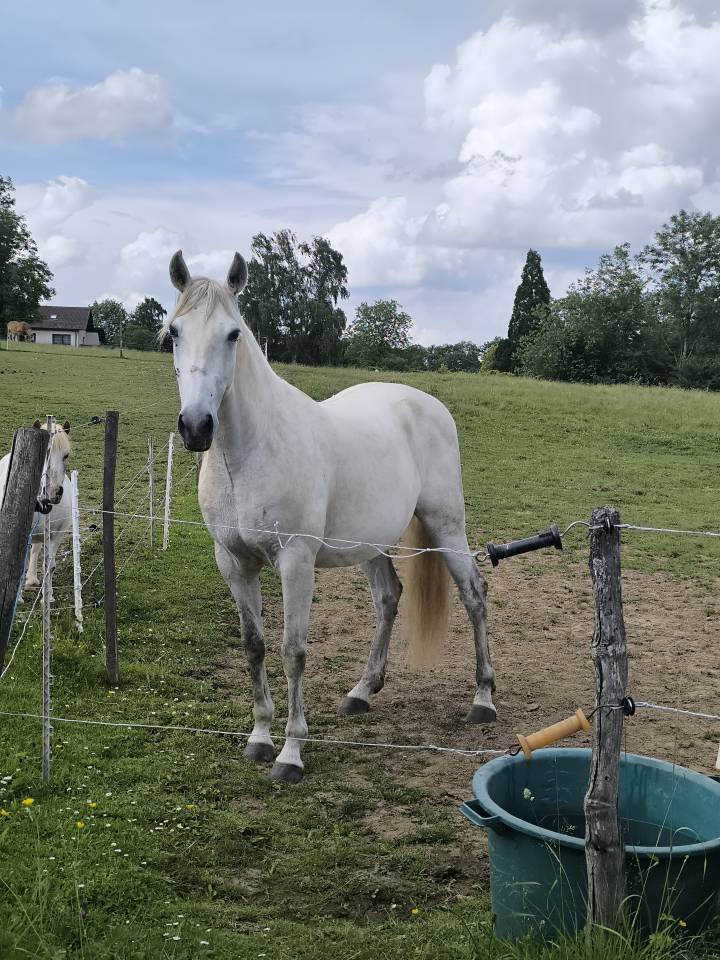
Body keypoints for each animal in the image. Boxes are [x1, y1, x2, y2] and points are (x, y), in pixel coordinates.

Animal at [0, 420, 72, 602]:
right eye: (45, 453)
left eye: (66, 455)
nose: (54, 492)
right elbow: (18, 568)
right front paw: (17, 599)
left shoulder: (57, 534)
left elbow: (50, 566)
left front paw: (48, 597)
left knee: (35, 550)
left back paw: (32, 578)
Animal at [165, 250, 496, 784]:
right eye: (173, 331)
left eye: (233, 334)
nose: (196, 427)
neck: (251, 451)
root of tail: (426, 403)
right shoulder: (233, 562)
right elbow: (254, 645)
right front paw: (259, 738)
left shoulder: (295, 562)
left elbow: (293, 650)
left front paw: (290, 754)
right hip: (371, 543)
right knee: (389, 598)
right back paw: (361, 692)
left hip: (447, 527)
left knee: (473, 596)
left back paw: (483, 700)